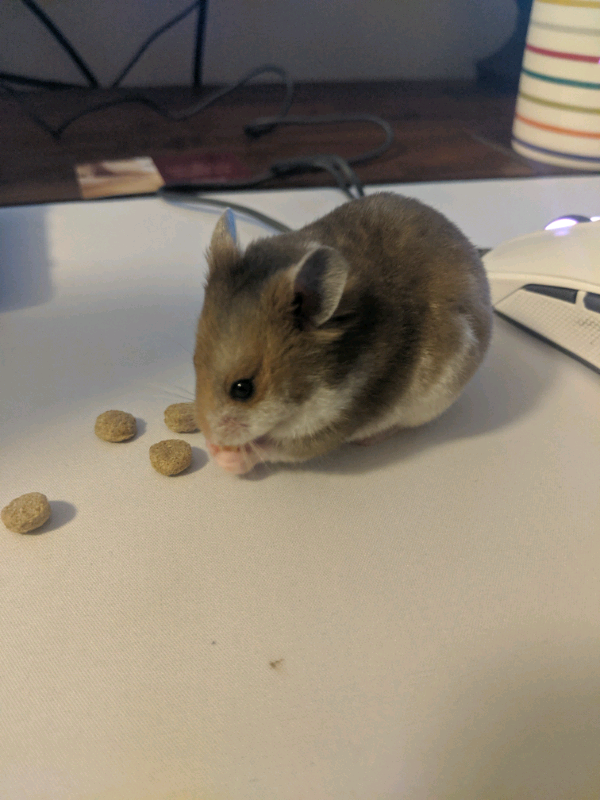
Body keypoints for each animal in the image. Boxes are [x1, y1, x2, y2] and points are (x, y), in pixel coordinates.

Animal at [194, 192, 493, 475]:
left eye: (243, 388)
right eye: (195, 363)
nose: (210, 436)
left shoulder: (337, 419)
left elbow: (279, 448)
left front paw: (227, 456)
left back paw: (369, 440)